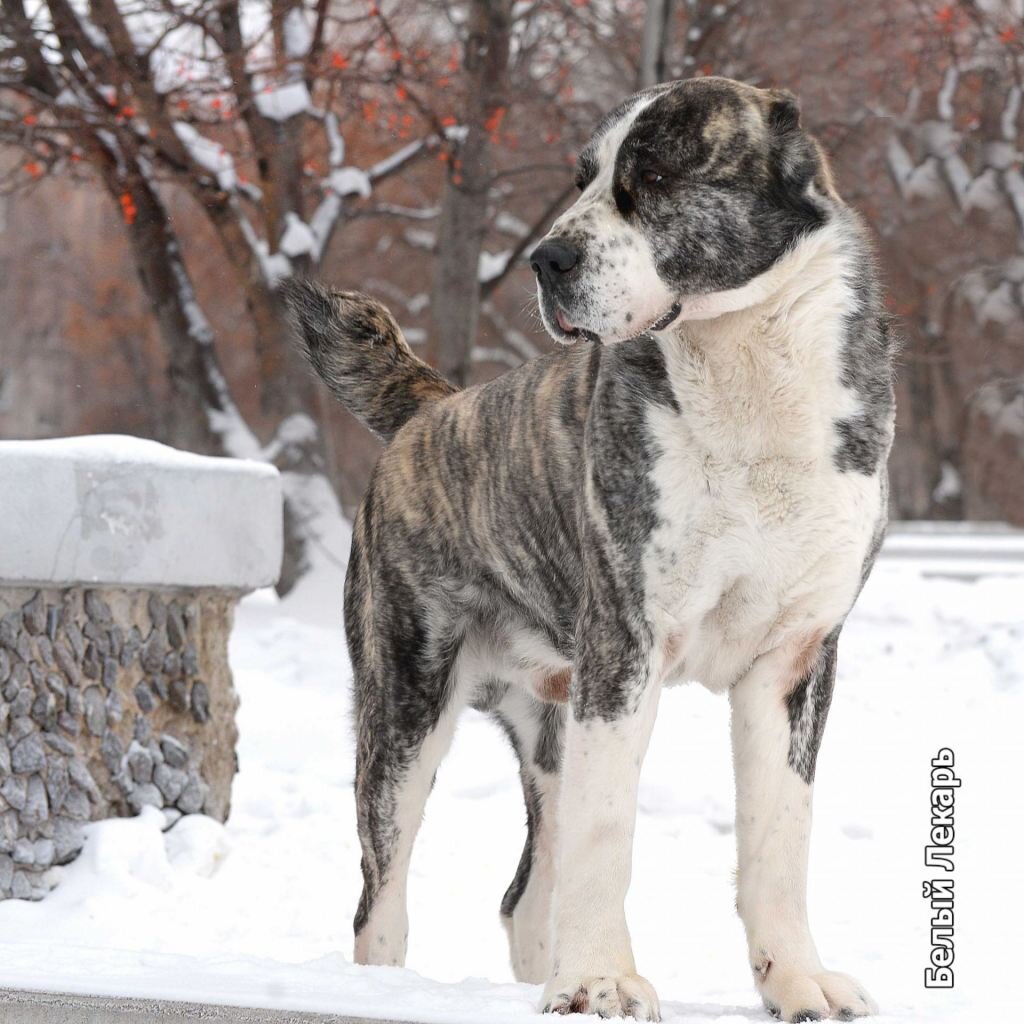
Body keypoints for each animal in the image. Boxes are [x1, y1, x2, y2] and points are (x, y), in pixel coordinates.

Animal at [284, 75, 892, 1019]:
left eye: (656, 175)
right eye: (583, 177)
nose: (547, 260)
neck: (747, 369)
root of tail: (434, 408)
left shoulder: (794, 662)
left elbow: (779, 838)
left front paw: (796, 980)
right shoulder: (625, 650)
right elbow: (608, 833)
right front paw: (604, 978)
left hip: (551, 722)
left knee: (526, 893)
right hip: (407, 708)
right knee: (381, 893)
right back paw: (393, 983)